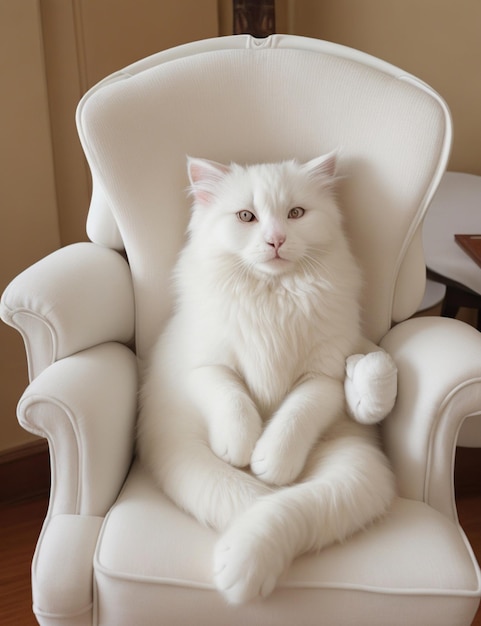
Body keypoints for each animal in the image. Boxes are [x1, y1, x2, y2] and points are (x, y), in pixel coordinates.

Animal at [137, 154, 396, 604]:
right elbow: (233, 399)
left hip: (354, 472)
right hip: (187, 456)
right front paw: (241, 445)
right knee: (251, 500)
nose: (276, 240)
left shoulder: (324, 377)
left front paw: (270, 458)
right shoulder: (206, 368)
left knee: (284, 504)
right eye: (246, 216)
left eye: (295, 214)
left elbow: (295, 415)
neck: (272, 295)